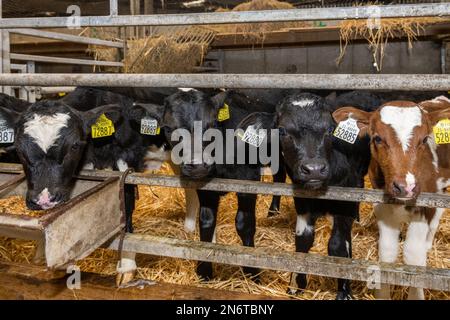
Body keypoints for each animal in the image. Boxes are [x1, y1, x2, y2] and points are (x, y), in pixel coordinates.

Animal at [239, 92, 376, 300]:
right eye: (282, 131)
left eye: (330, 129)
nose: (314, 170)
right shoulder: (302, 201)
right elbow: (303, 240)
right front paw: (296, 285)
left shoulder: (345, 200)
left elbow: (337, 245)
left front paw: (344, 290)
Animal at [332, 100, 448, 300]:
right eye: (377, 138)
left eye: (425, 139)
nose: (405, 187)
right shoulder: (382, 206)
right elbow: (387, 251)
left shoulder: (423, 206)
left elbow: (413, 255)